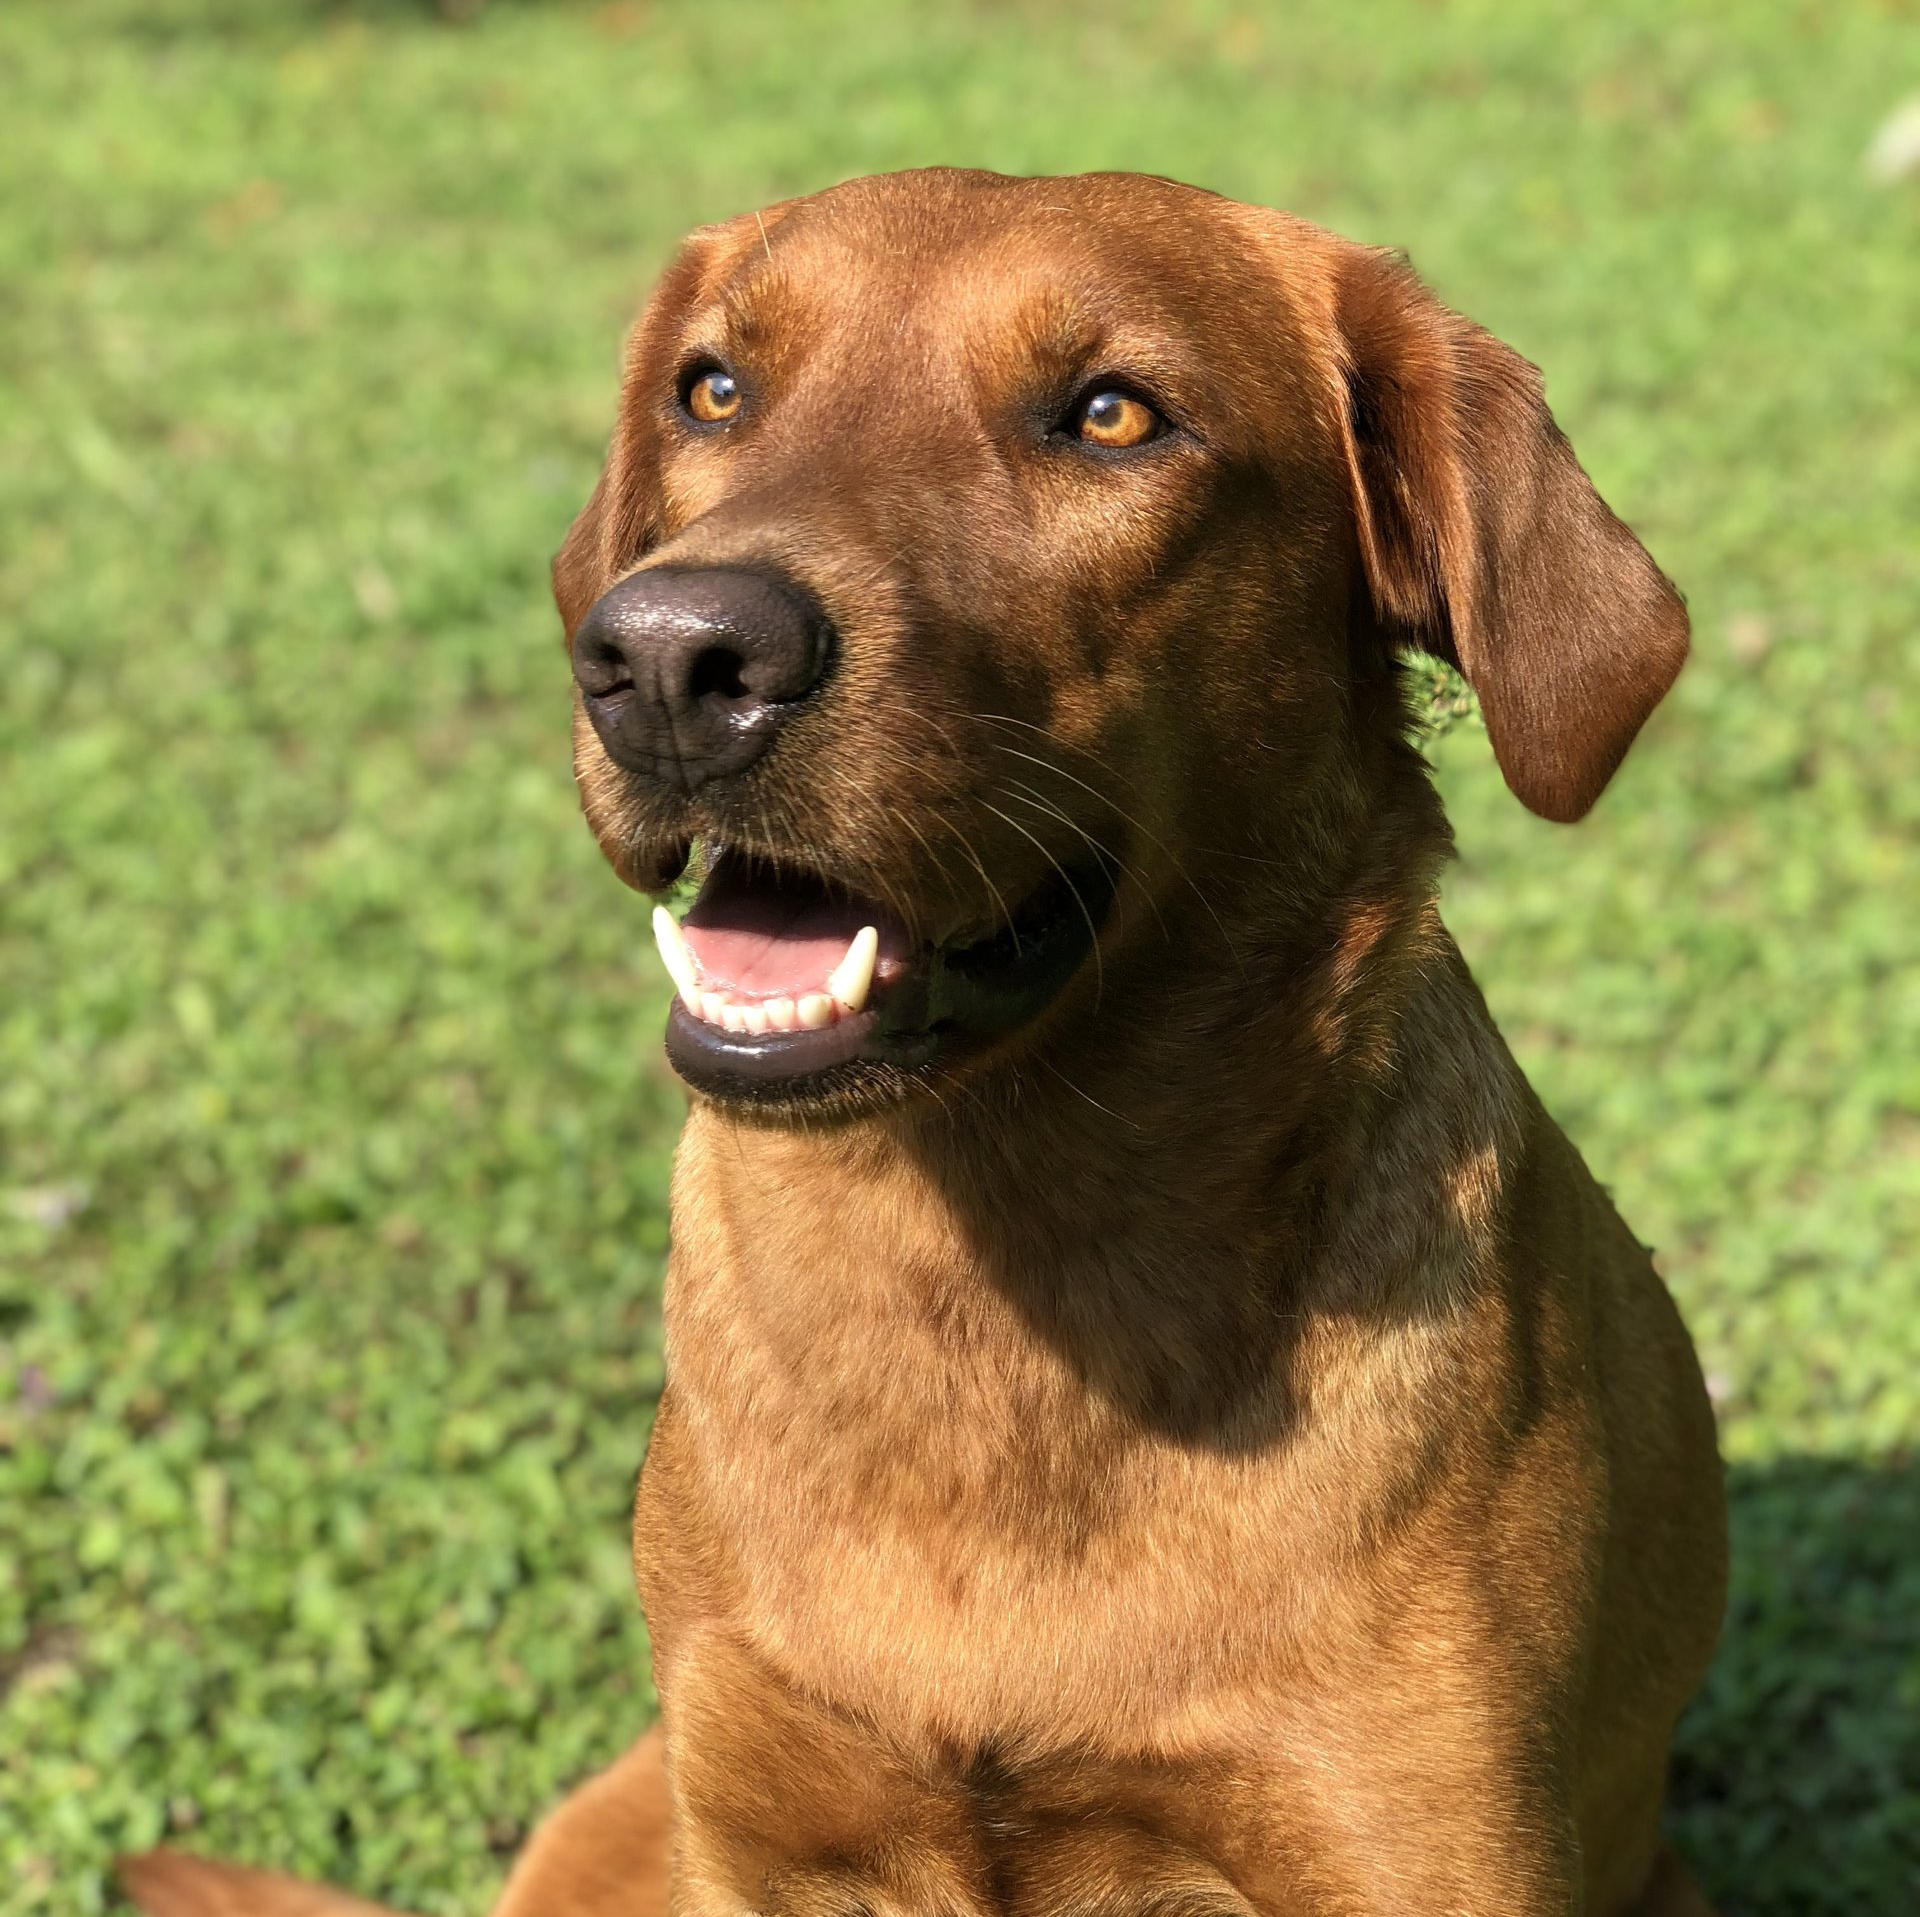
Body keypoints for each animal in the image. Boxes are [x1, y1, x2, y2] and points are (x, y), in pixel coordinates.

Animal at [123, 167, 1728, 1917]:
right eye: (713, 389)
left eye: (1112, 414)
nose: (671, 658)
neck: (994, 1294)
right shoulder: (751, 1831)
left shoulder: (1418, 1851)